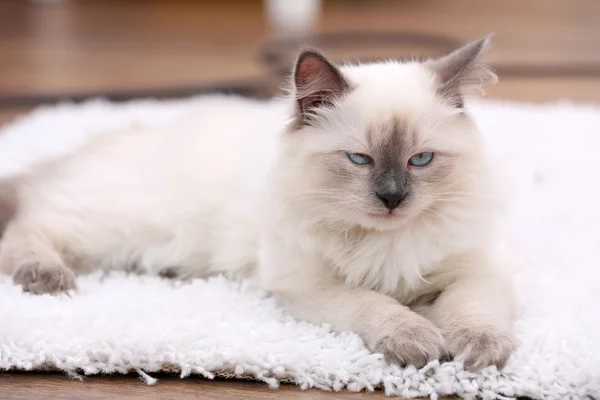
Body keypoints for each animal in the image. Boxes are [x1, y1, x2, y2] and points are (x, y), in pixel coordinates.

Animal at [0, 35, 516, 372]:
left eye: (421, 159)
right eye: (360, 159)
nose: (392, 197)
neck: (383, 242)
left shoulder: (469, 271)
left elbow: (476, 313)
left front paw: (478, 353)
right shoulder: (308, 285)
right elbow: (376, 306)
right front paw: (419, 341)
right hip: (112, 230)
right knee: (28, 226)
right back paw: (45, 277)